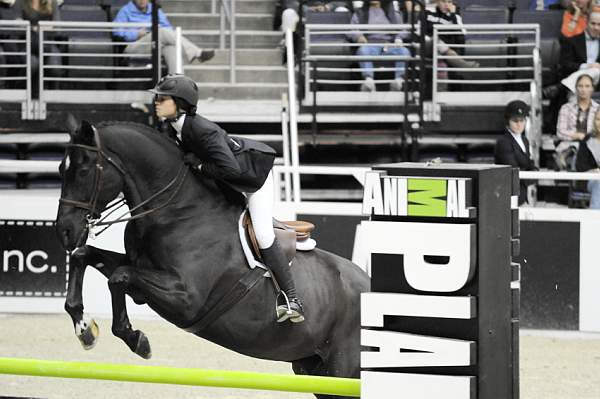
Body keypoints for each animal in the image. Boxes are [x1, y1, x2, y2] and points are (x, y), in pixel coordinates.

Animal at [55, 119, 370, 396]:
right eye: (61, 168)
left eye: (83, 170)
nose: (65, 231)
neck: (176, 211)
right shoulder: (141, 277)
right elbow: (86, 256)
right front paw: (84, 329)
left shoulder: (186, 299)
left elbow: (119, 277)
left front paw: (137, 340)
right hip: (316, 371)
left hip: (343, 372)